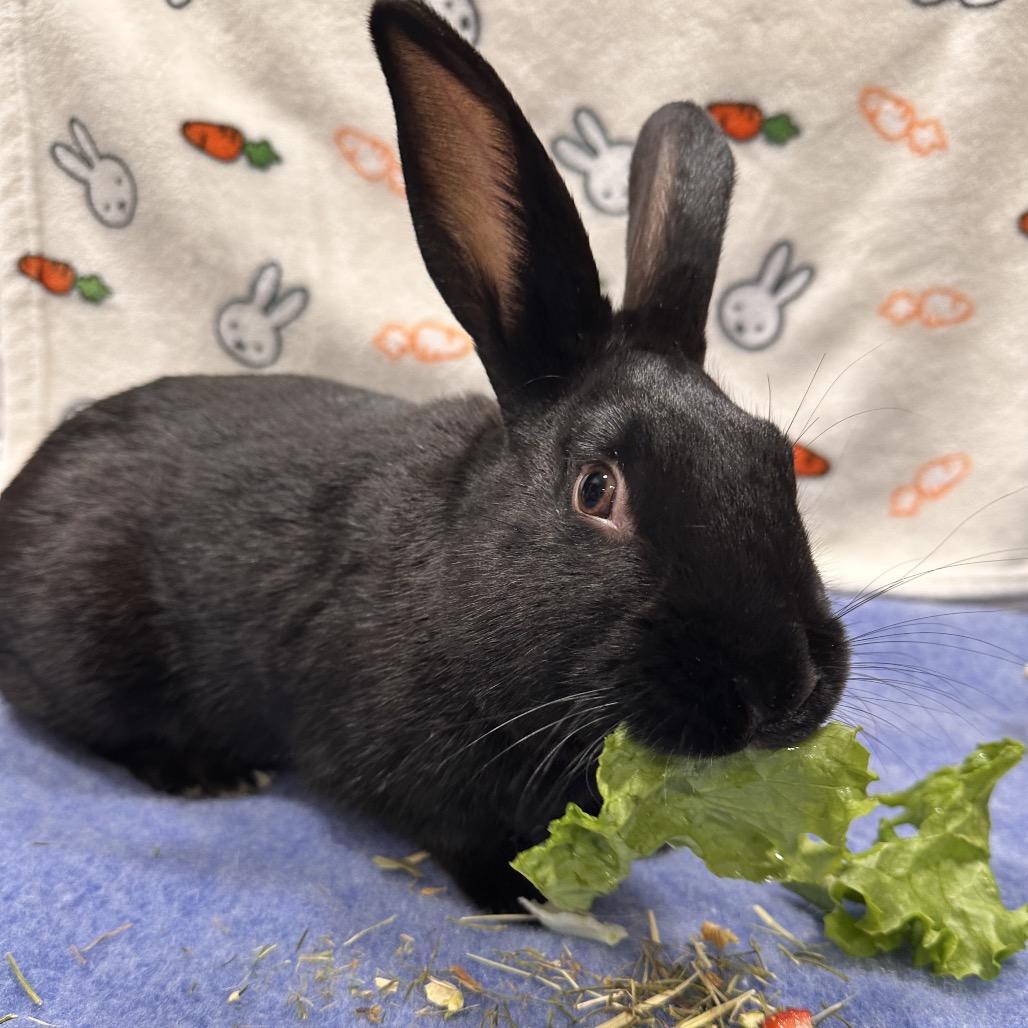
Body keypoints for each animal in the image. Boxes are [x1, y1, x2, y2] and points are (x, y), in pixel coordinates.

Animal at [0, 0, 849, 913]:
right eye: (595, 489)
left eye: (778, 458)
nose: (787, 688)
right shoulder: (408, 767)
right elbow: (458, 835)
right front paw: (521, 895)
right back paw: (205, 773)